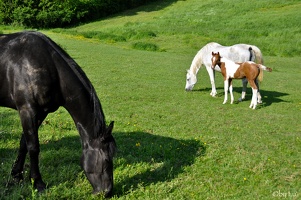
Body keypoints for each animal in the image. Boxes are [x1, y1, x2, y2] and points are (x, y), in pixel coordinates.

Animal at [0, 31, 115, 197]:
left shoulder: (41, 113)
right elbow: (33, 147)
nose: (107, 192)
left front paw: (17, 176)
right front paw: (38, 183)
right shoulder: (27, 110)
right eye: (106, 160)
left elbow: (24, 144)